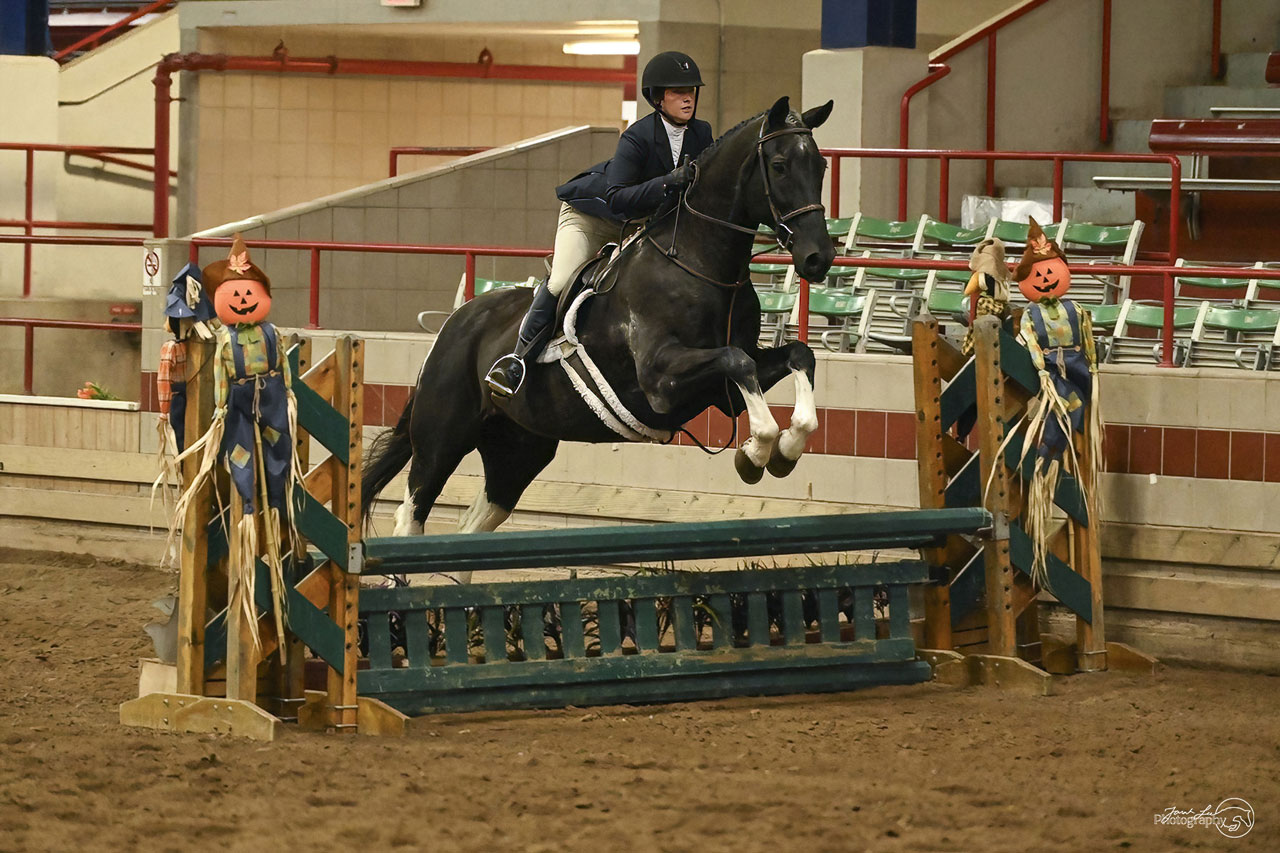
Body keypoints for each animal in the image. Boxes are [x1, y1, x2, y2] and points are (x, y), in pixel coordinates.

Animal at [363, 97, 839, 558]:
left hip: (518, 448)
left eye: (821, 166)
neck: (699, 264)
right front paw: (757, 451)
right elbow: (737, 361)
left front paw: (785, 449)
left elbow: (796, 355)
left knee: (474, 524)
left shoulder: (723, 395)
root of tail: (454, 324)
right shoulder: (661, 381)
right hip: (442, 439)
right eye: (780, 165)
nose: (819, 258)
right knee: (411, 516)